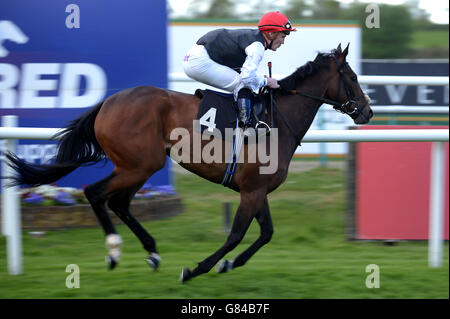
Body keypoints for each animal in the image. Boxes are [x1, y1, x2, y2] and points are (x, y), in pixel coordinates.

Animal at [5, 43, 374, 284]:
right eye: (353, 76)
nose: (368, 111)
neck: (277, 119)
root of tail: (108, 103)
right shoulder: (252, 190)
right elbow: (236, 234)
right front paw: (197, 269)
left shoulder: (257, 189)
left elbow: (267, 232)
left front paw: (228, 265)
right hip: (140, 164)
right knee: (96, 193)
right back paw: (114, 251)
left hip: (139, 166)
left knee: (119, 202)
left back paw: (152, 252)